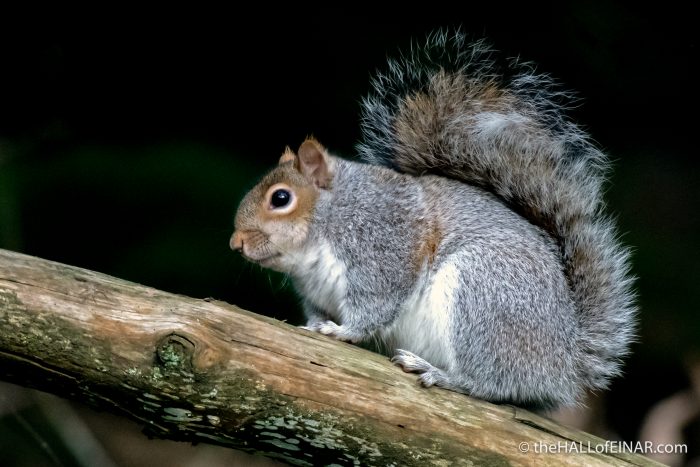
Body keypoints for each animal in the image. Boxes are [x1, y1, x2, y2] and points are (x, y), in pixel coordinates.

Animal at [230, 30, 637, 410]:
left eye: (281, 198)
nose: (235, 242)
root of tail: (564, 361)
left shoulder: (385, 244)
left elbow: (376, 305)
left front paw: (343, 332)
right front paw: (316, 325)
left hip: (483, 291)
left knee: (492, 385)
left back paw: (441, 374)